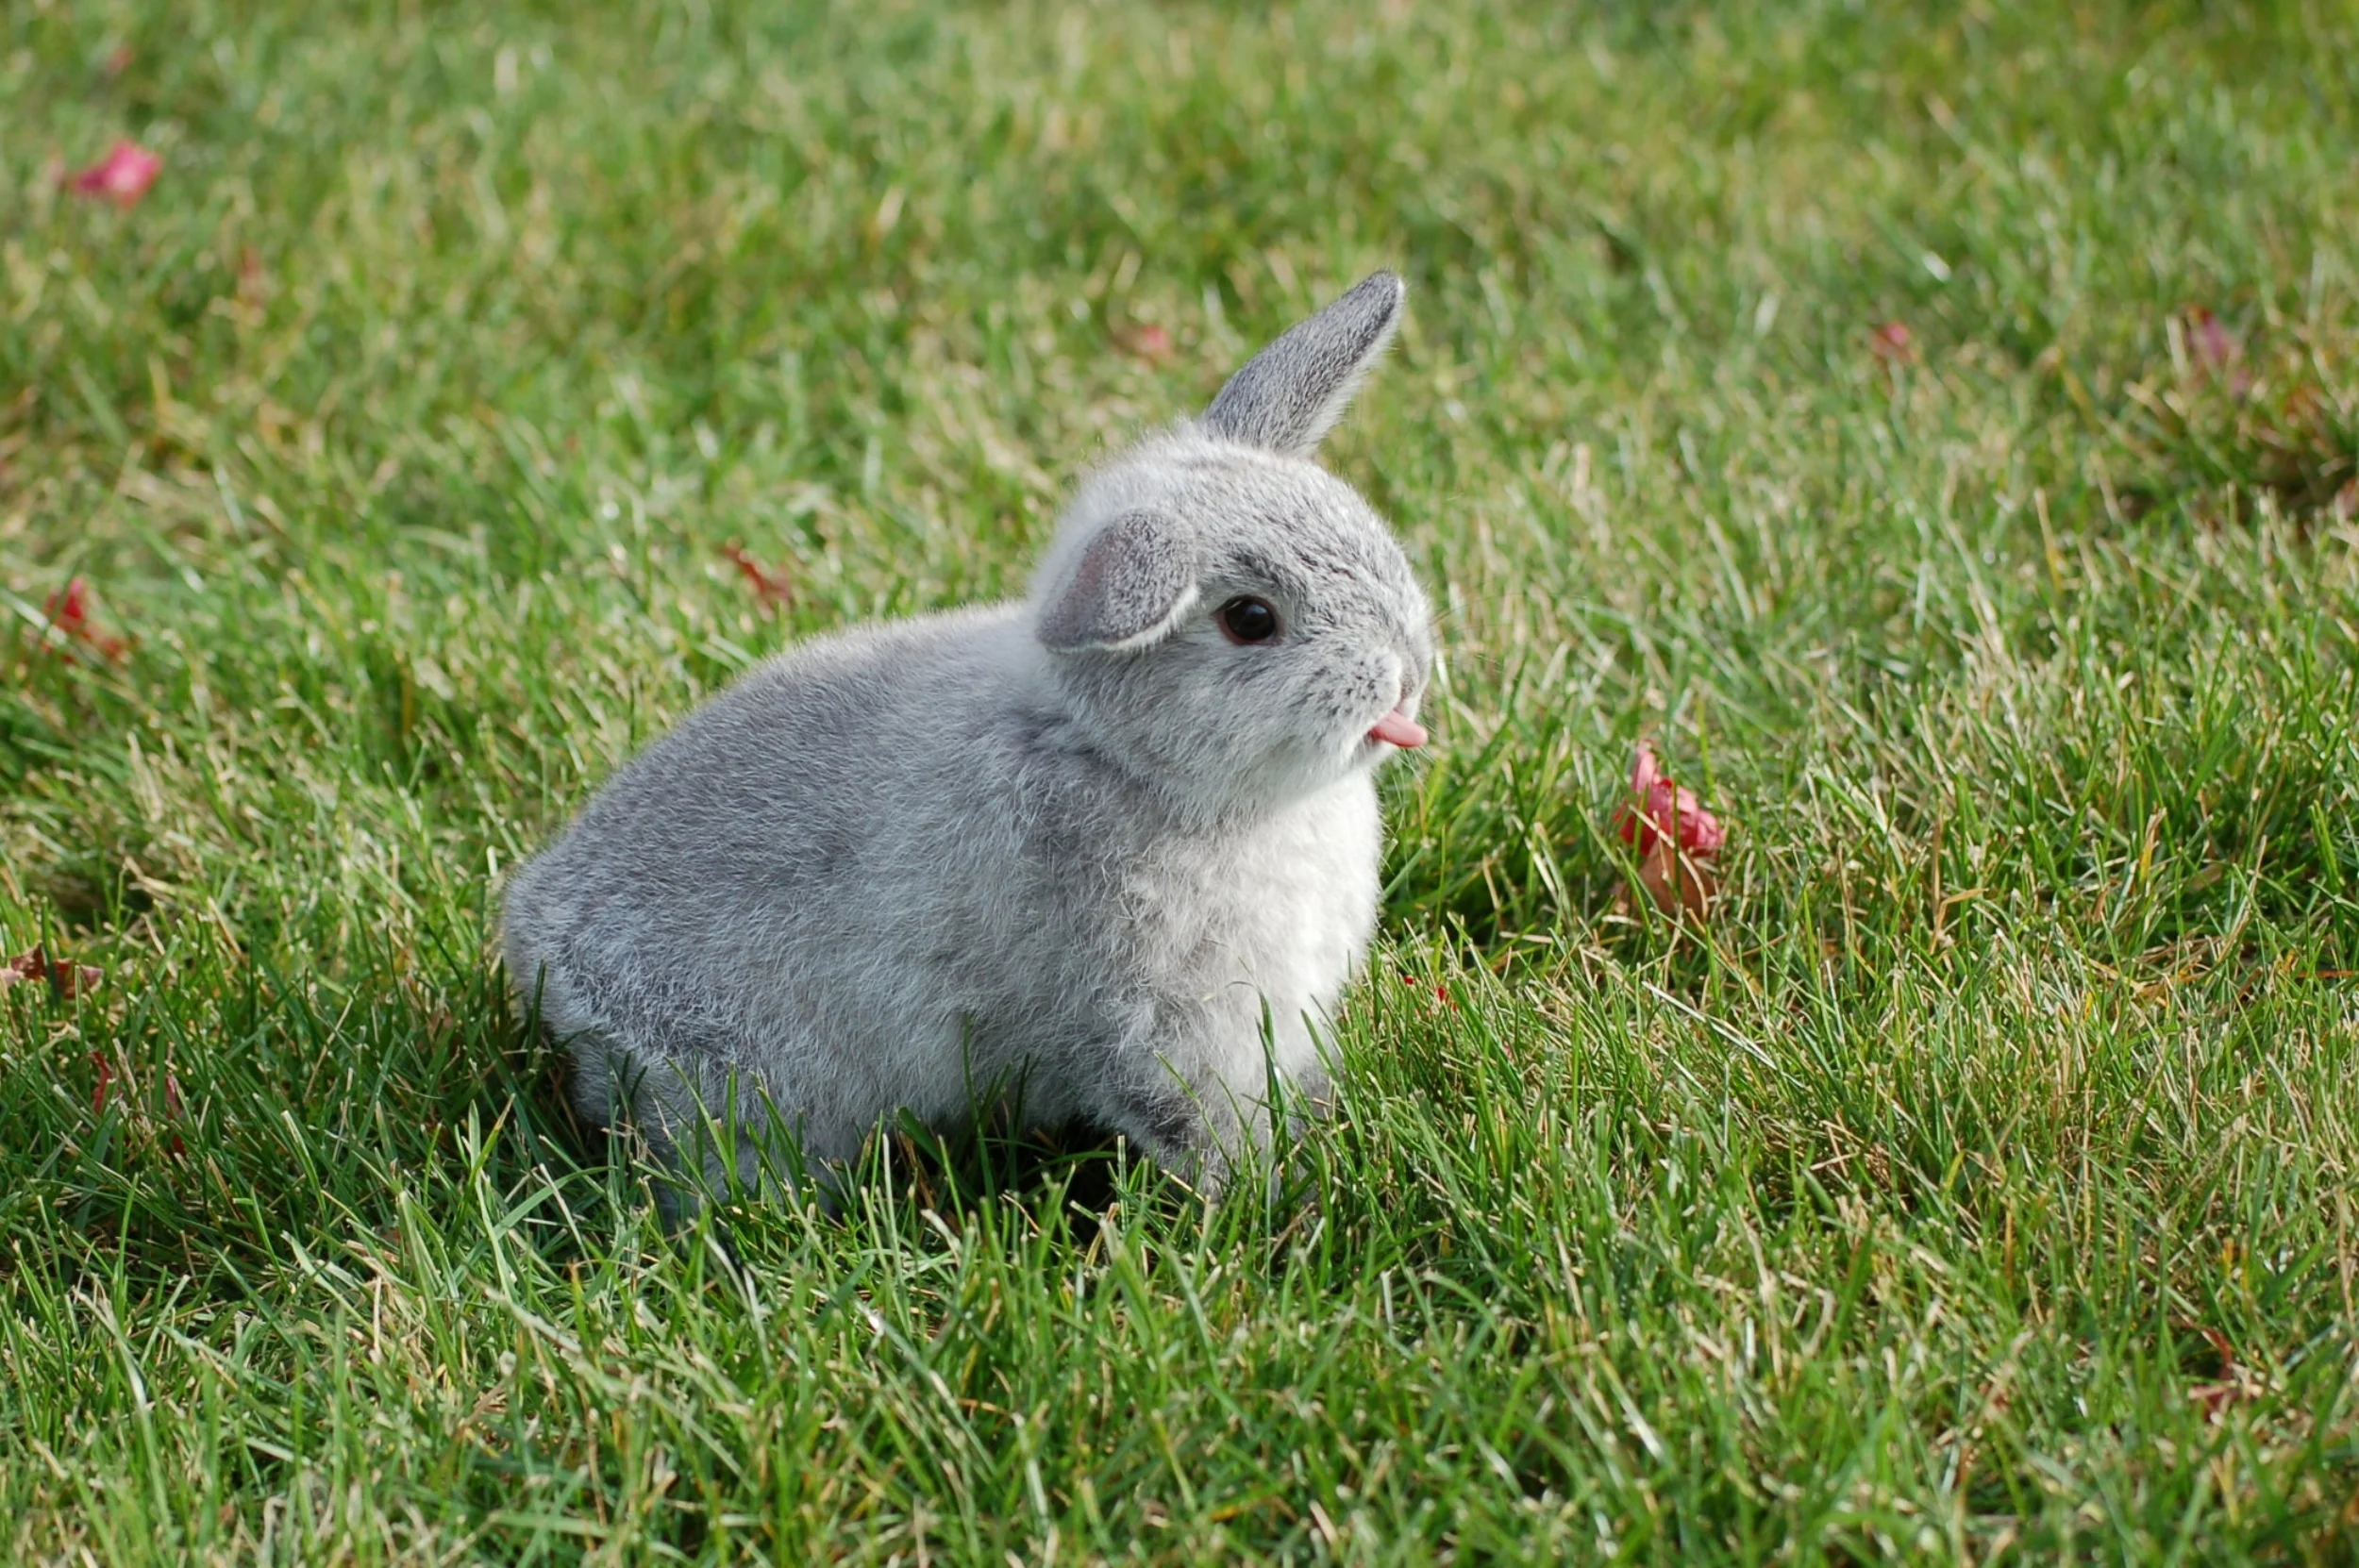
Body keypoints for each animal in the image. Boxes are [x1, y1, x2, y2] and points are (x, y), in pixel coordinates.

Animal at [502, 270, 1434, 1212]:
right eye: (1249, 620)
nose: (1406, 680)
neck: (1118, 754)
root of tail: (543, 956)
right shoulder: (1159, 1021)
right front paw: (1266, 1200)